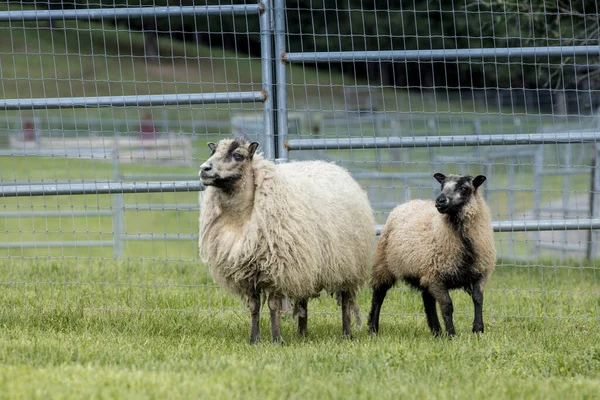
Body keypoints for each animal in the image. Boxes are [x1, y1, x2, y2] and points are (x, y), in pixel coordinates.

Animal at [199, 138, 372, 344]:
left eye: (238, 155)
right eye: (213, 152)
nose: (204, 169)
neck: (240, 217)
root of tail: (334, 166)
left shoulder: (277, 269)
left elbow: (273, 306)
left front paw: (276, 339)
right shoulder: (248, 272)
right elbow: (254, 307)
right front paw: (254, 339)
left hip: (347, 264)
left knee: (346, 300)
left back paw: (346, 334)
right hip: (306, 264)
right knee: (303, 298)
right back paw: (302, 333)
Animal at [368, 173, 494, 336]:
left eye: (464, 188)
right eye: (442, 186)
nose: (440, 200)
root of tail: (408, 202)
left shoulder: (481, 272)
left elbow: (478, 299)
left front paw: (478, 330)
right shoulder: (436, 277)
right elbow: (447, 305)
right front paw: (451, 334)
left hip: (423, 272)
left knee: (428, 300)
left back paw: (436, 332)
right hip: (384, 264)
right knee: (379, 295)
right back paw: (373, 329)